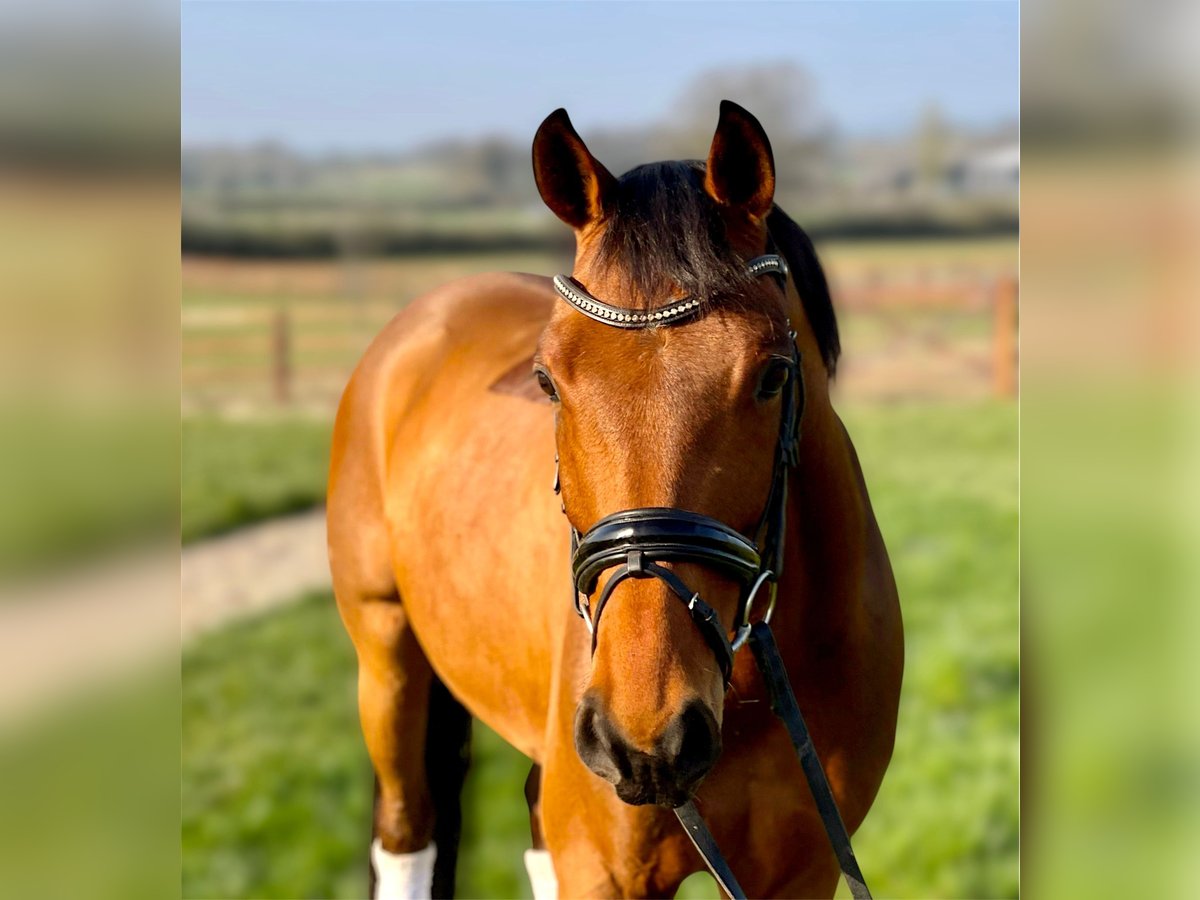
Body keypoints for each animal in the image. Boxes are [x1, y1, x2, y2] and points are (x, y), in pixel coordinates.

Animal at [328, 102, 902, 897]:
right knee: (407, 833)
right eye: (546, 381)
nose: (646, 734)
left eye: (772, 375)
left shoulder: (804, 872)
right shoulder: (605, 869)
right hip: (385, 659)